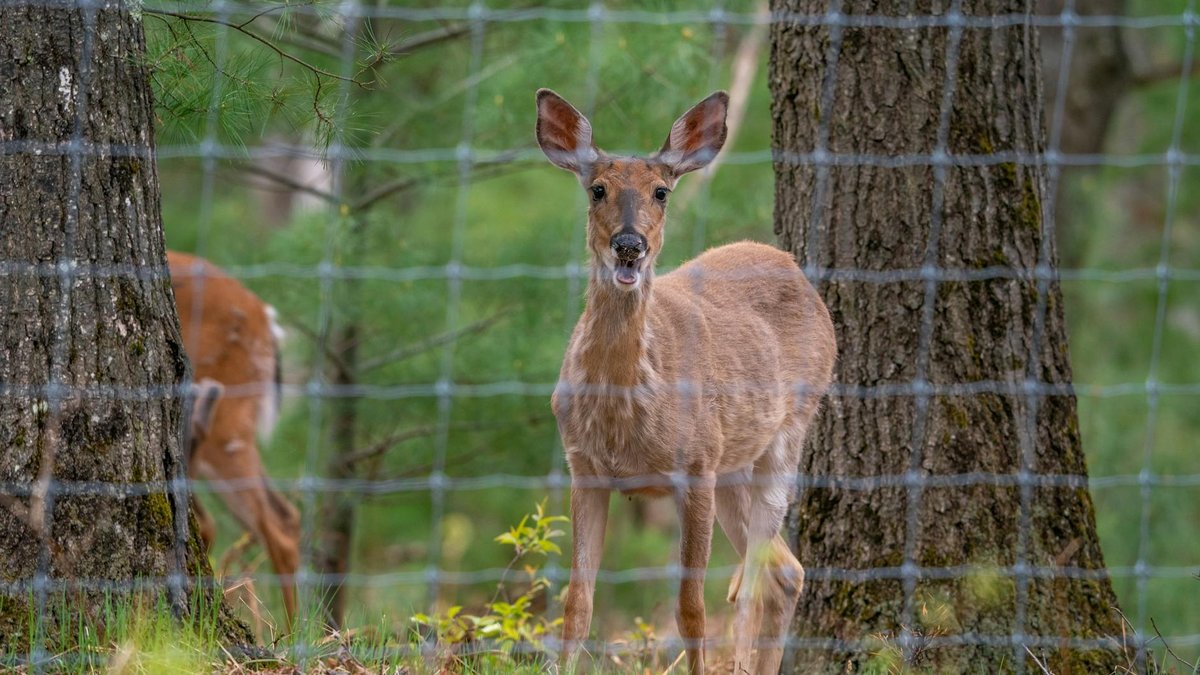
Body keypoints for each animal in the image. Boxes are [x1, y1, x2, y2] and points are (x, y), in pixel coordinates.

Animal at [536, 89, 837, 674]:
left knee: (755, 582)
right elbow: (577, 602)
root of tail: (789, 263)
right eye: (597, 189)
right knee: (786, 572)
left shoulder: (695, 466)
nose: (629, 245)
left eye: (662, 191)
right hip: (733, 464)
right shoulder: (584, 468)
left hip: (786, 433)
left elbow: (691, 606)